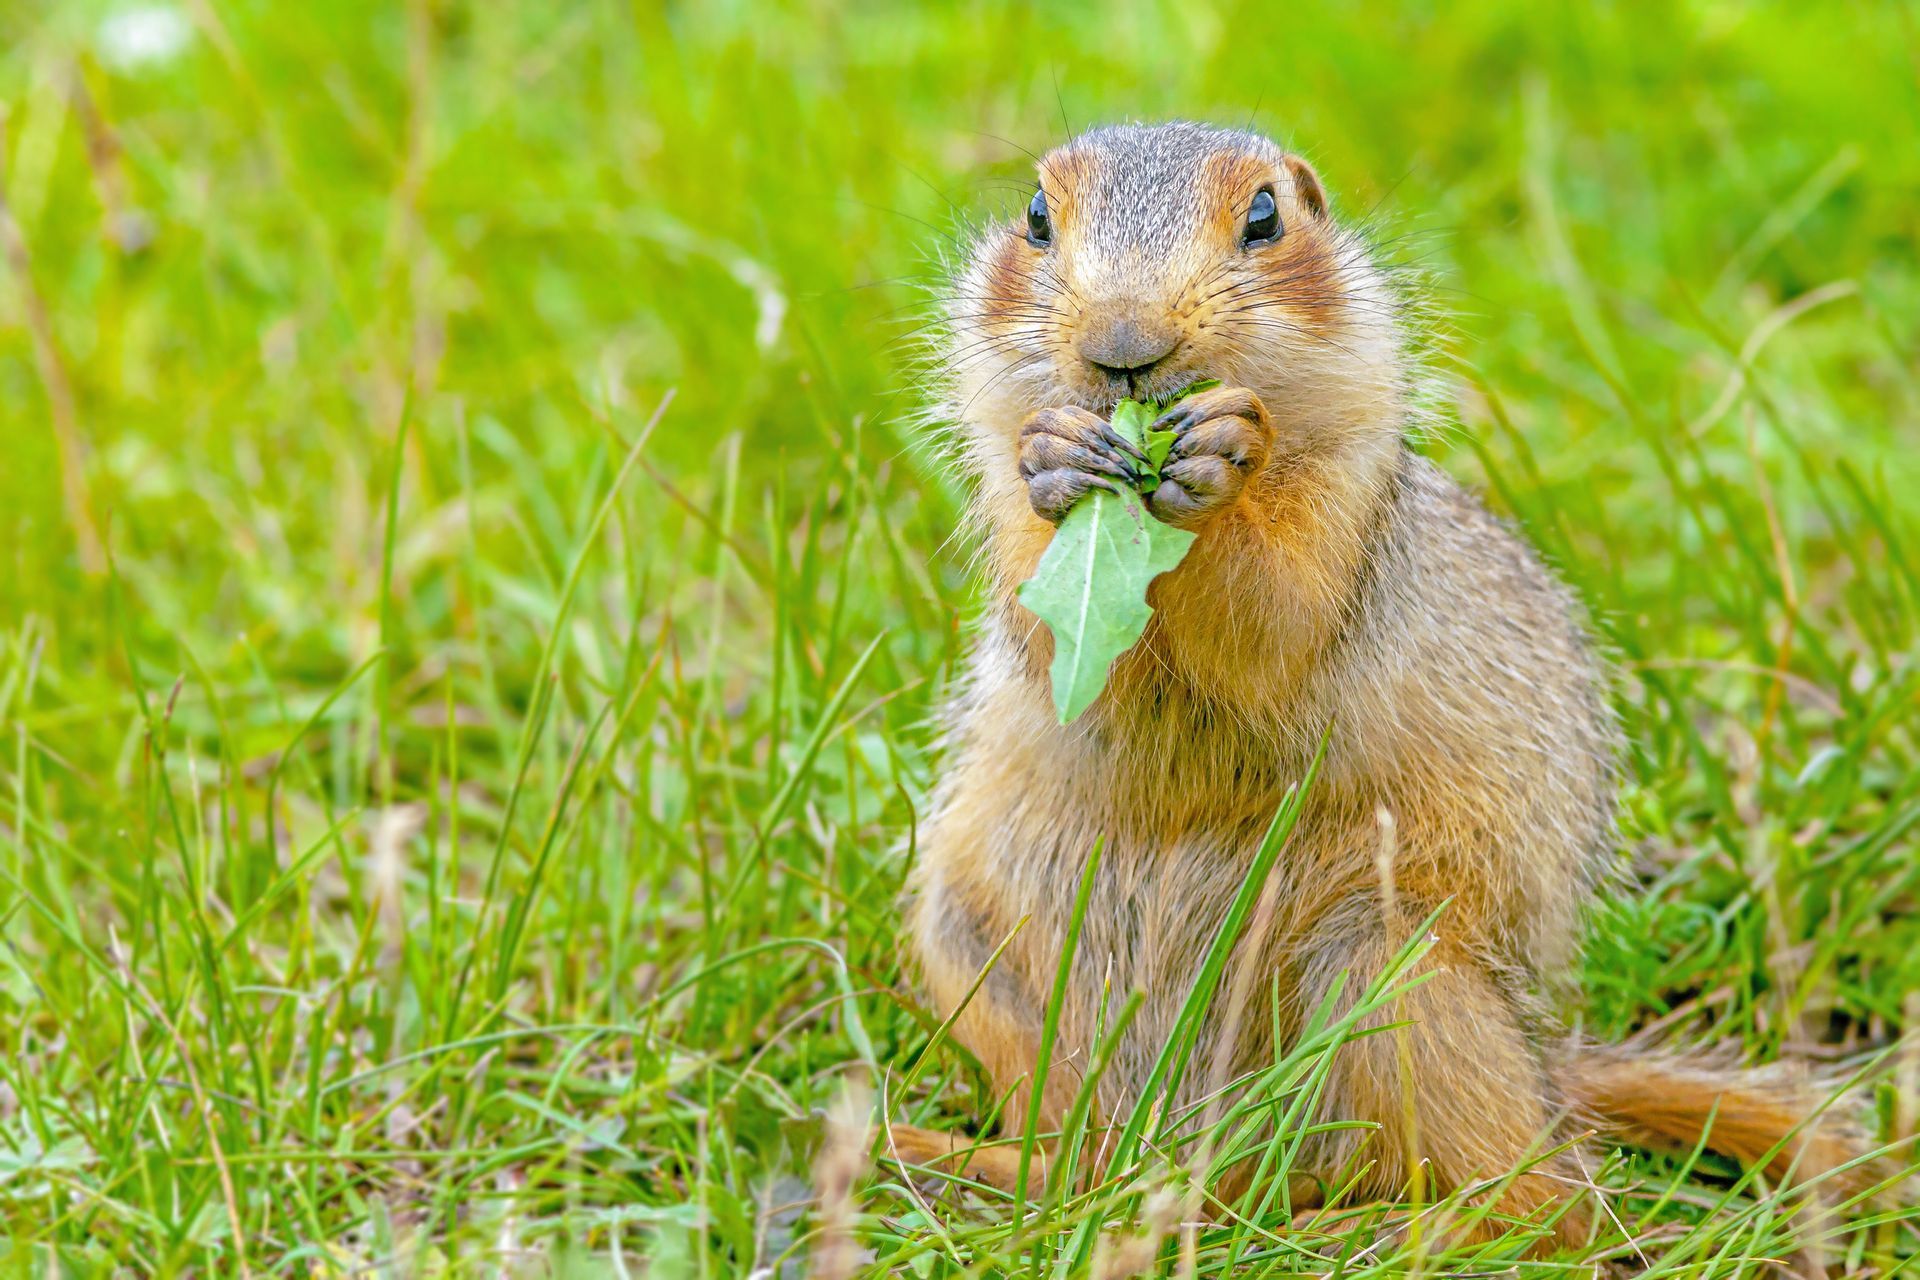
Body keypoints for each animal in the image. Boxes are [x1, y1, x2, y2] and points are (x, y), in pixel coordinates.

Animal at [891, 122, 1879, 1249]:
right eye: (1036, 218)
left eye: (1265, 216)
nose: (1123, 344)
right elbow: (1048, 623)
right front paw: (1055, 456)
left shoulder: (1350, 495)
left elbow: (1283, 610)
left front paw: (1226, 450)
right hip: (973, 950)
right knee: (1086, 1147)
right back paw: (992, 1168)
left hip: (1392, 968)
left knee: (1547, 1199)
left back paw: (1383, 1231)